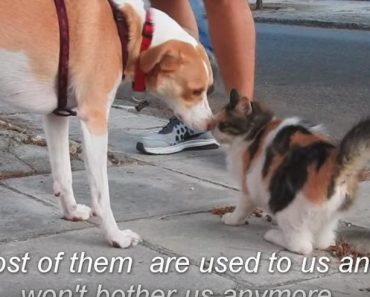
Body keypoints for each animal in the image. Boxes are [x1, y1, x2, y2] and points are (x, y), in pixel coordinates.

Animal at [0, 0, 214, 247]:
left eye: (209, 89)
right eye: (195, 91)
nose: (212, 124)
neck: (125, 27)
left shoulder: (56, 114)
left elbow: (64, 174)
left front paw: (72, 212)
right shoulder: (95, 119)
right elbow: (102, 194)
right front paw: (116, 236)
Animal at [211, 89, 370, 253]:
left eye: (222, 124)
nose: (211, 129)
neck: (258, 129)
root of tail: (334, 161)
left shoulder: (248, 185)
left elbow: (242, 208)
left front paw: (232, 219)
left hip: (288, 209)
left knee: (301, 246)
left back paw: (273, 235)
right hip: (329, 218)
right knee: (322, 241)